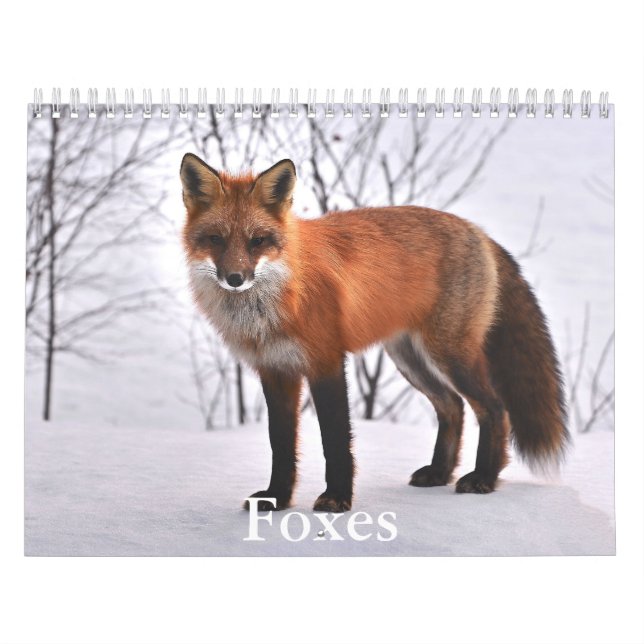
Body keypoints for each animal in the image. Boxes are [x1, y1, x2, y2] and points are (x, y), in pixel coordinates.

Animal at [180, 153, 568, 513]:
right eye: (215, 239)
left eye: (258, 241)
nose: (235, 278)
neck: (275, 301)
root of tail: (477, 231)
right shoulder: (275, 371)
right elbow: (281, 445)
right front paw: (277, 498)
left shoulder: (326, 362)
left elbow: (335, 441)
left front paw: (337, 498)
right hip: (410, 359)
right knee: (452, 406)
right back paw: (440, 473)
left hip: (450, 354)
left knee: (495, 408)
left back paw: (484, 478)